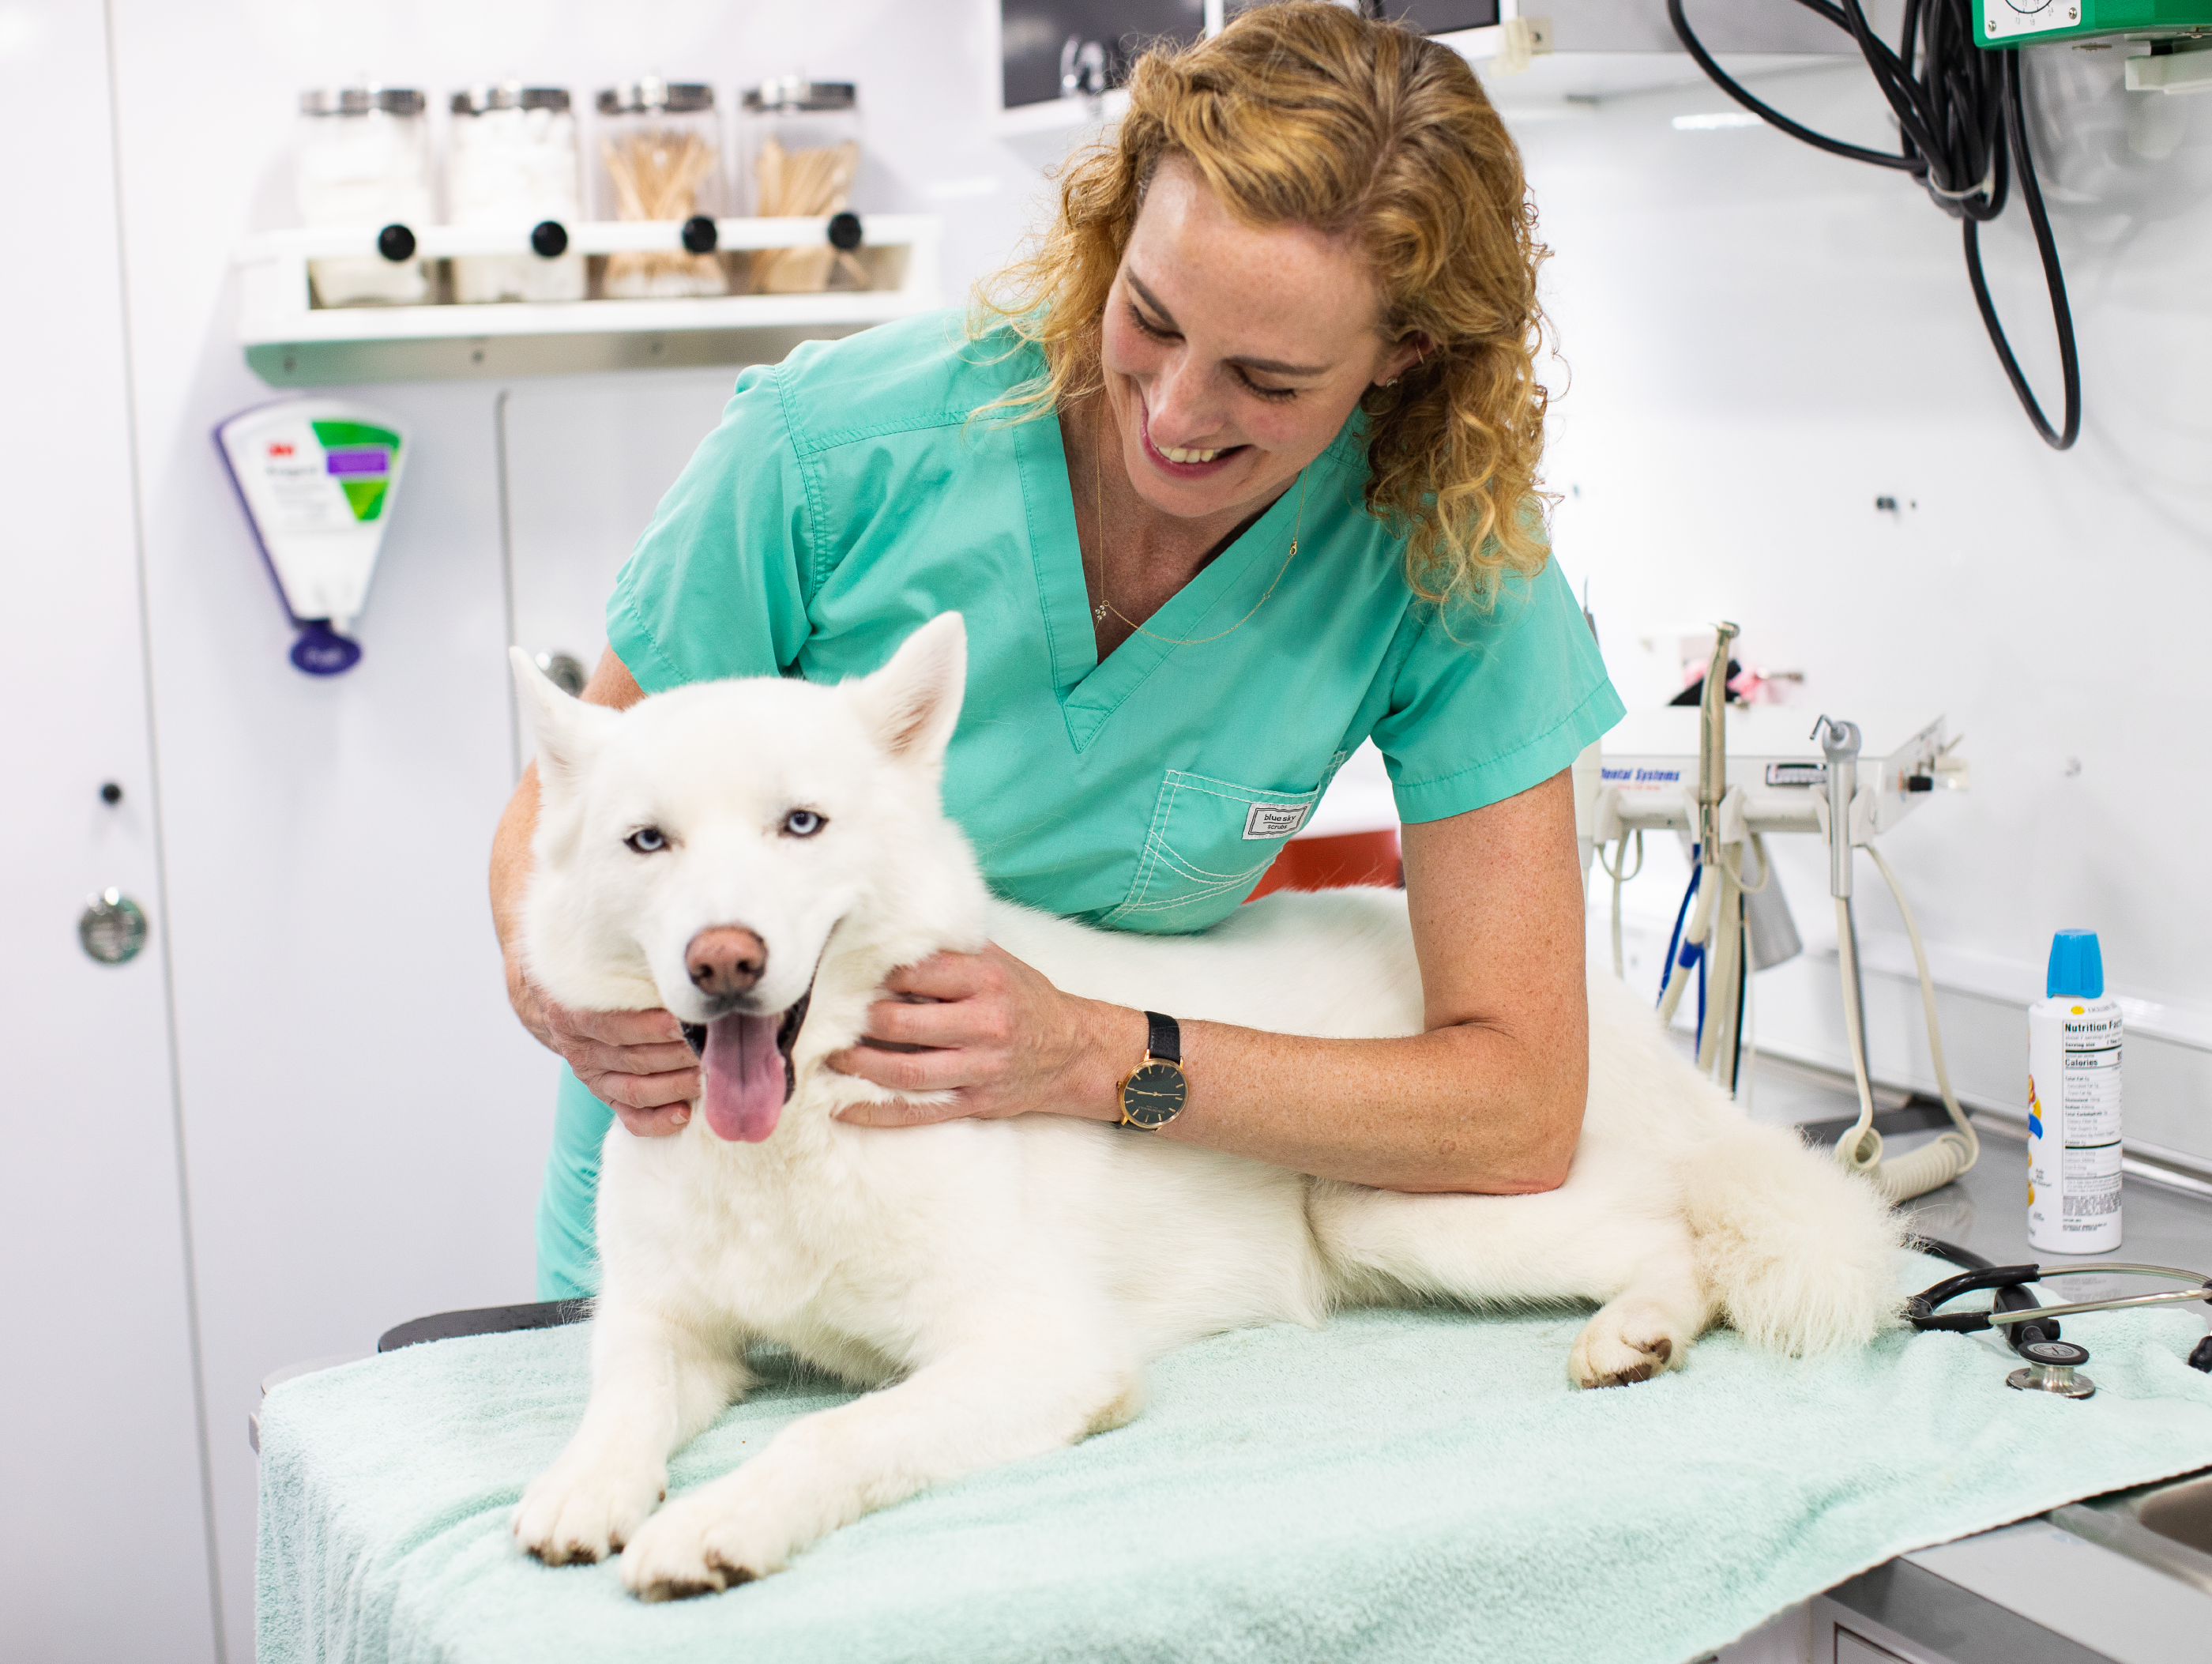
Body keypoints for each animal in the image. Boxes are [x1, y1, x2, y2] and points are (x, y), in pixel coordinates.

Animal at [509, 610, 1893, 1602]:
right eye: (647, 842)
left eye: (802, 823)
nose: (723, 961)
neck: (787, 1146)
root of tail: (1616, 1022)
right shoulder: (668, 1327)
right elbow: (620, 1399)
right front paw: (586, 1488)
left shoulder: (1042, 1351)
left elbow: (833, 1435)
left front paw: (718, 1521)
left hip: (1387, 1204)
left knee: (1683, 1236)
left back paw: (1635, 1331)